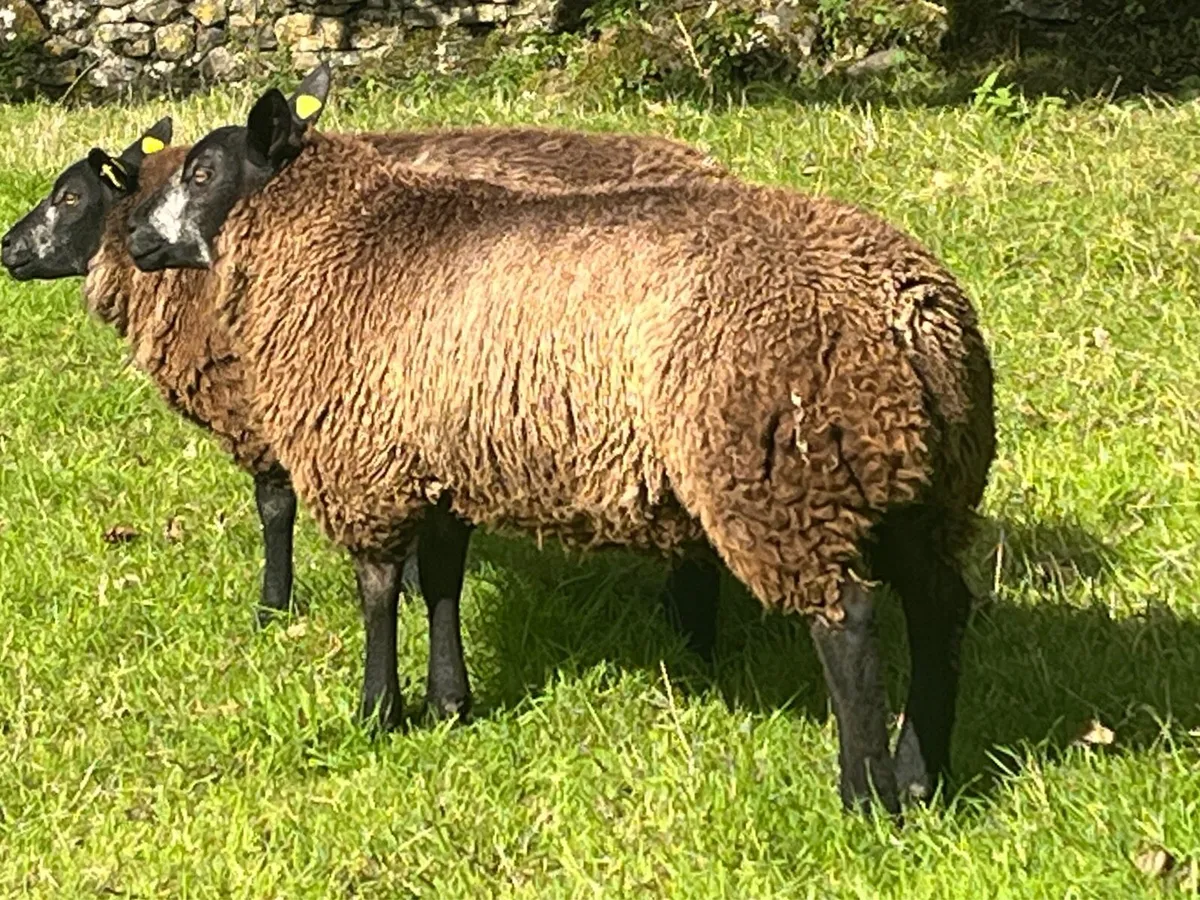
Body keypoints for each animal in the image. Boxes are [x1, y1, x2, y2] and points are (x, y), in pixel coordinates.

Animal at [2, 74, 735, 718]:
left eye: (70, 197)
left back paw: (694, 643)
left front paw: (274, 608)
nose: (7, 247)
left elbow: (276, 508)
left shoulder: (284, 404)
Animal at [125, 81, 995, 817]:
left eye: (203, 171)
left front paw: (378, 711)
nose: (133, 236)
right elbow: (443, 584)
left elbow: (379, 591)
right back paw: (922, 777)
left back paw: (866, 796)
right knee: (941, 607)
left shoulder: (364, 461)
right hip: (917, 480)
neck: (343, 238)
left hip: (787, 472)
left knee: (848, 623)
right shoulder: (441, 460)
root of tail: (905, 310)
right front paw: (450, 703)